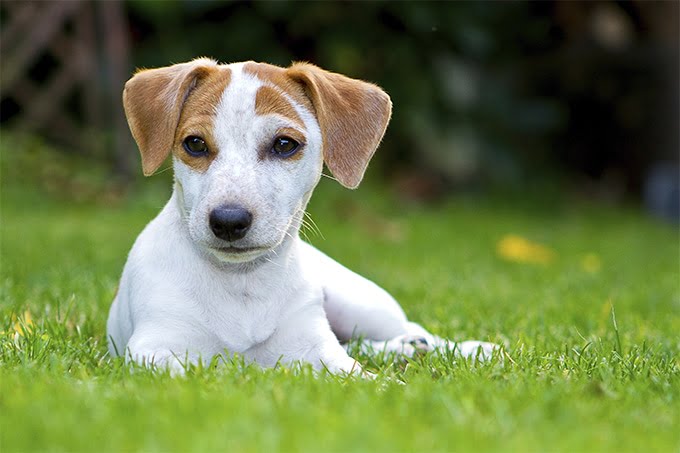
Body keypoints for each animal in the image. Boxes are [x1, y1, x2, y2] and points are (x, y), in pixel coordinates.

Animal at [107, 58, 500, 372]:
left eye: (284, 144)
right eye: (194, 144)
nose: (229, 221)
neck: (241, 283)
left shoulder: (319, 352)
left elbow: (366, 380)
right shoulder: (156, 350)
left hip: (362, 304)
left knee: (409, 330)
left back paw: (462, 348)